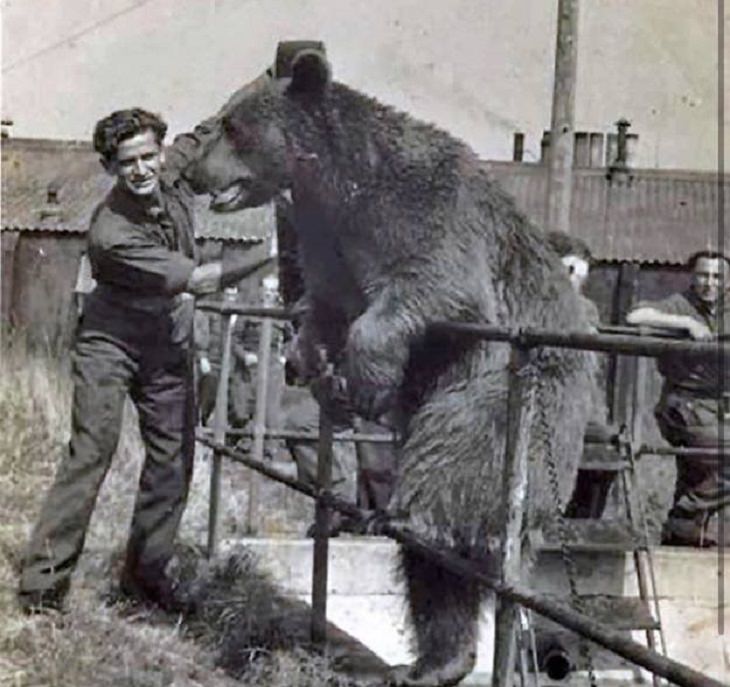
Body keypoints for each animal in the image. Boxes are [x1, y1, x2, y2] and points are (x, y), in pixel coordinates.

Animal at [188, 49, 596, 687]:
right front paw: (309, 359)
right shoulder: (328, 244)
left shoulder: (423, 212)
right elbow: (328, 306)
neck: (336, 187)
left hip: (509, 409)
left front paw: (364, 379)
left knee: (447, 474)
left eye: (232, 125)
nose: (190, 169)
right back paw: (432, 661)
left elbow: (430, 287)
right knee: (434, 580)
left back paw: (413, 520)